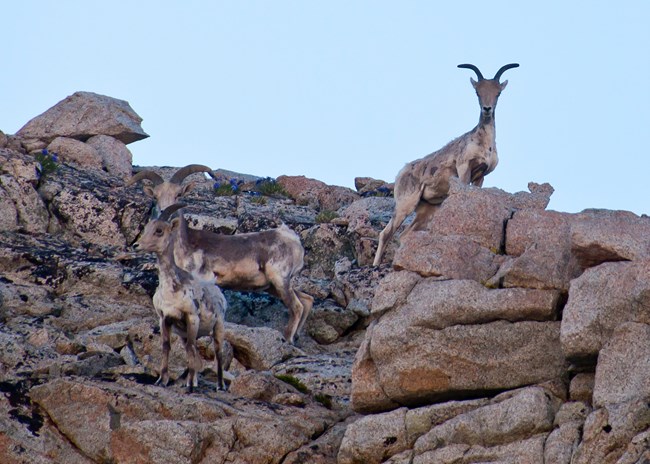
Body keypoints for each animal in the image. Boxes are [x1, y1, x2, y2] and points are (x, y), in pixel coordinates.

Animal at [127, 165, 314, 342]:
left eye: (178, 194)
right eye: (155, 196)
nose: (165, 211)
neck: (183, 247)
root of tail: (292, 239)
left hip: (280, 280)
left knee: (297, 307)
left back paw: (288, 339)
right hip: (273, 286)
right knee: (307, 300)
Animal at [133, 204, 227, 392]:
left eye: (159, 230)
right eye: (146, 228)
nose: (136, 245)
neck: (172, 290)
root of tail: (218, 293)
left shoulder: (191, 317)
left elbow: (190, 349)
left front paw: (189, 385)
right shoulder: (165, 318)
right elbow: (166, 346)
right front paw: (162, 380)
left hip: (218, 326)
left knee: (218, 352)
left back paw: (219, 386)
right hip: (185, 333)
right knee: (196, 353)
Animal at [372, 62, 520, 264]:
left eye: (498, 93)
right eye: (477, 92)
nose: (487, 108)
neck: (483, 143)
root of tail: (402, 172)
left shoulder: (480, 176)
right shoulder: (464, 168)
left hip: (427, 209)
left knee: (404, 235)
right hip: (405, 205)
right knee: (386, 234)